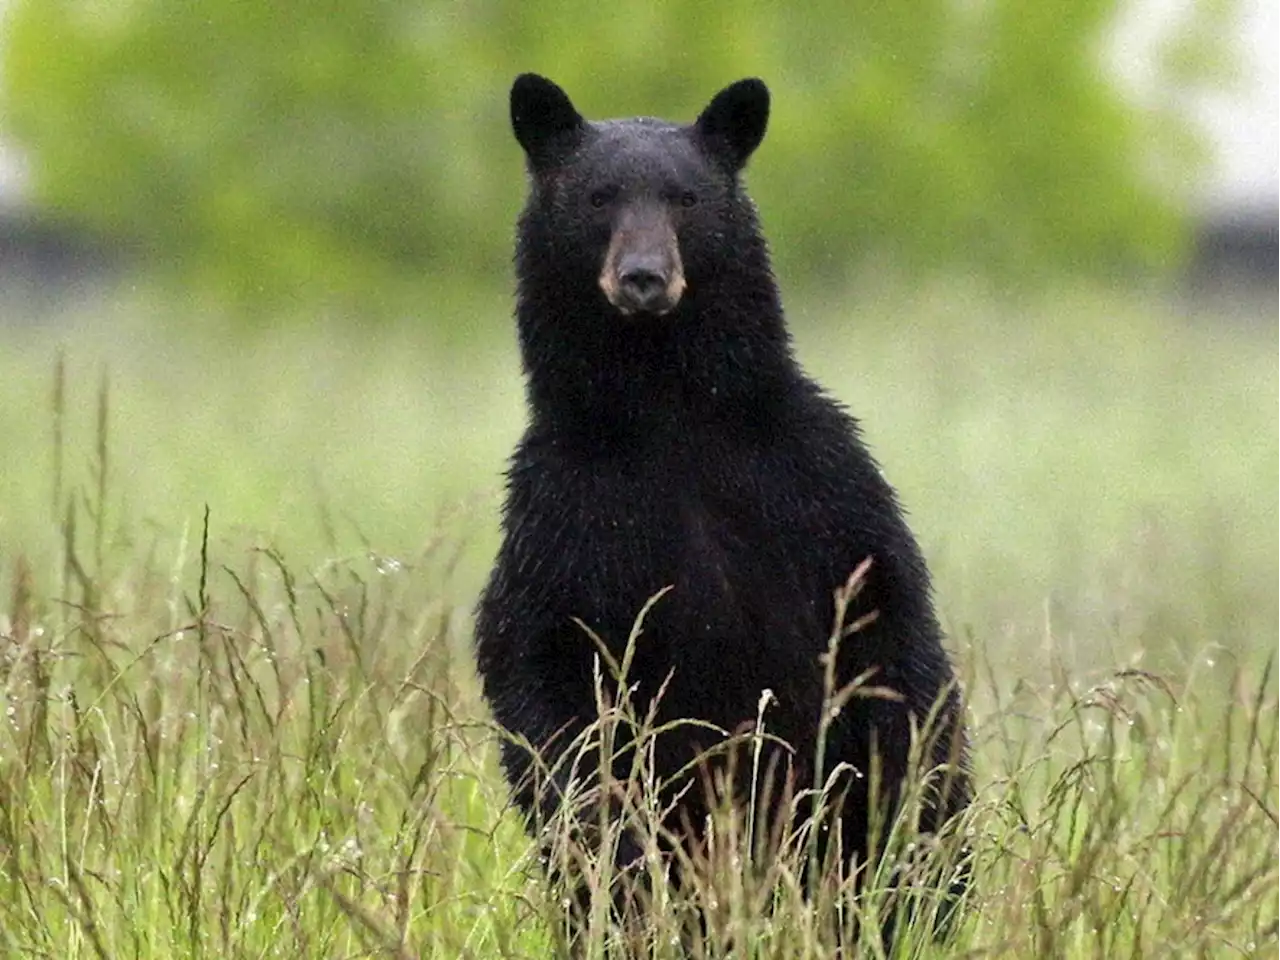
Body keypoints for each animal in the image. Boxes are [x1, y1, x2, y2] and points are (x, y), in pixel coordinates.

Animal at [476, 73, 972, 947]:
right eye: (599, 197)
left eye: (685, 197)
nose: (644, 277)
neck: (669, 413)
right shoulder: (563, 515)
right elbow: (544, 676)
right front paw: (612, 842)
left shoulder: (820, 487)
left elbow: (892, 643)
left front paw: (907, 832)